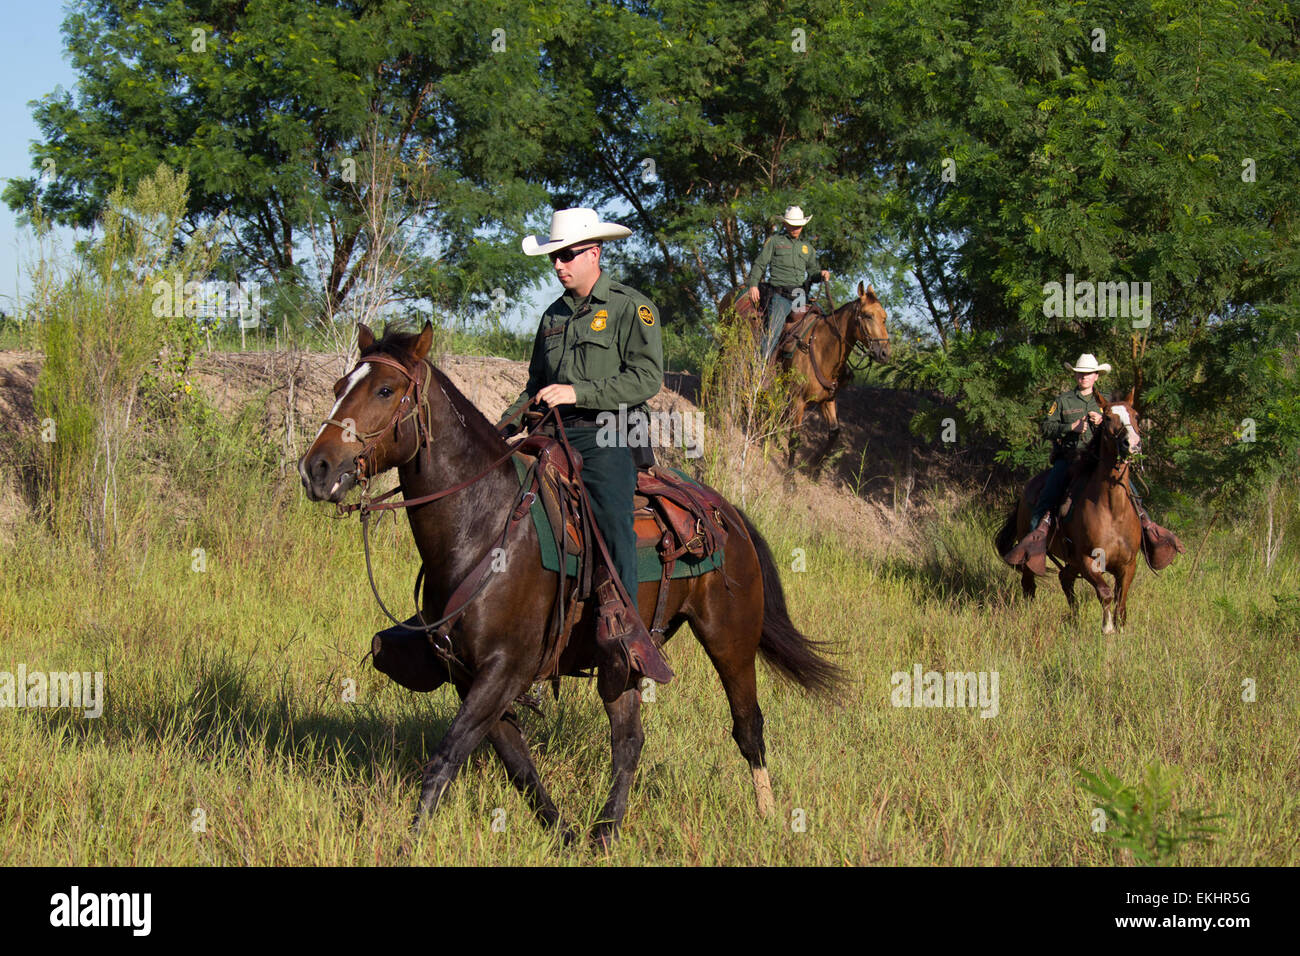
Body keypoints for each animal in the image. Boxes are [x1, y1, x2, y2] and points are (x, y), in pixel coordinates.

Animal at [298, 322, 844, 848]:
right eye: (338, 388)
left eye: (385, 390)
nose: (315, 469)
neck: (486, 523)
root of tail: (725, 510)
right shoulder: (472, 677)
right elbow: (518, 764)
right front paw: (563, 836)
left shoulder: (504, 670)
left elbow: (447, 755)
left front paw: (407, 845)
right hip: (625, 660)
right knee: (628, 740)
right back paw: (604, 833)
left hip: (730, 639)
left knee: (748, 726)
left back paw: (767, 817)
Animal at [994, 389, 1144, 633]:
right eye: (1107, 418)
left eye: (1136, 415)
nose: (1132, 443)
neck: (1114, 511)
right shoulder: (1087, 560)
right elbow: (1106, 594)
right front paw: (1107, 628)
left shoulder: (1128, 564)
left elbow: (1121, 600)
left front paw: (1120, 630)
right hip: (1036, 555)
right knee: (1029, 584)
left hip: (1071, 563)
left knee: (1065, 579)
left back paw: (1074, 619)